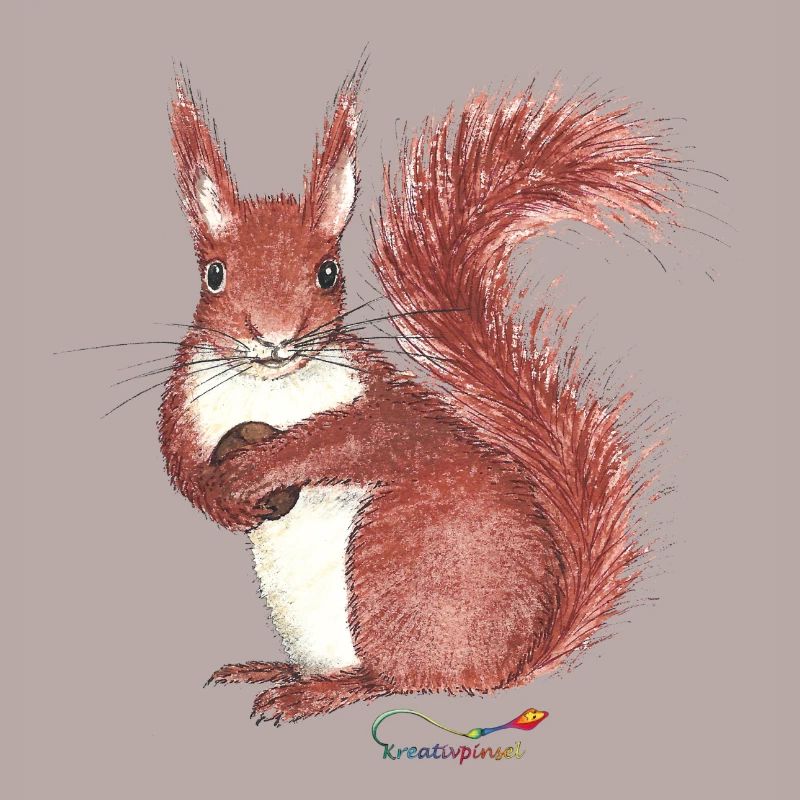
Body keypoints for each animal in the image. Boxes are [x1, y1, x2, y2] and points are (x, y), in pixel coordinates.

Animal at [159, 65, 677, 725]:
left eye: (328, 272)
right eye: (214, 274)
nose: (275, 338)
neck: (270, 388)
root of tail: (509, 667)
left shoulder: (380, 405)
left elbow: (350, 438)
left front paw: (262, 467)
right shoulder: (186, 400)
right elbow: (178, 461)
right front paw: (218, 498)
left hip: (391, 565)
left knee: (400, 680)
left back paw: (318, 692)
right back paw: (274, 670)